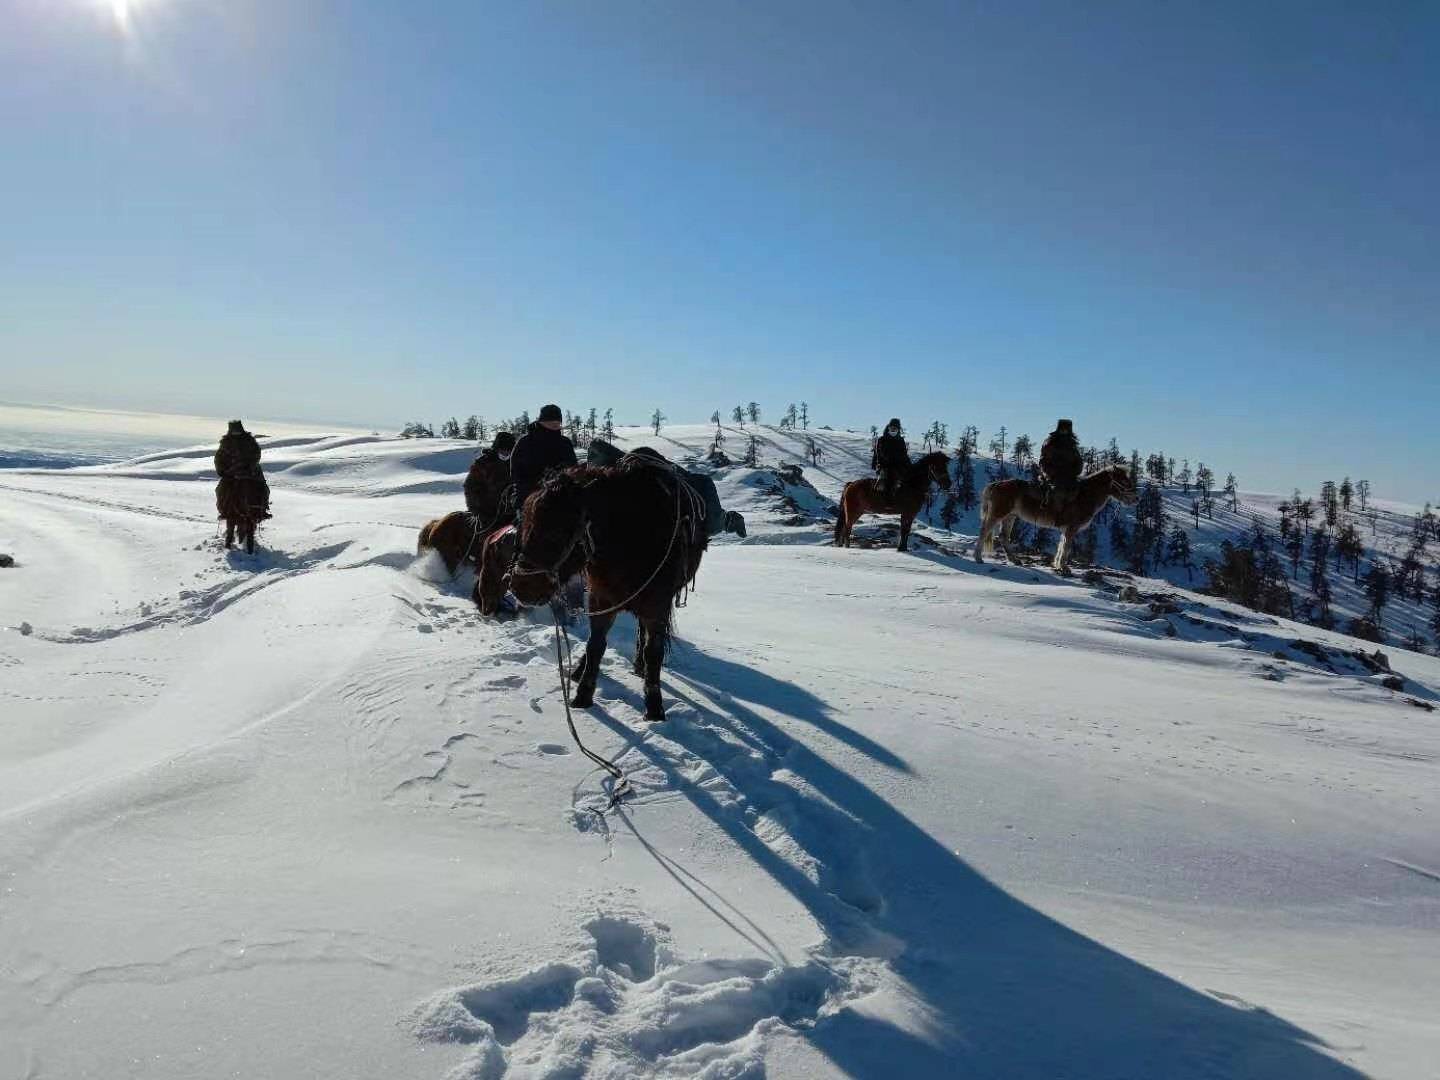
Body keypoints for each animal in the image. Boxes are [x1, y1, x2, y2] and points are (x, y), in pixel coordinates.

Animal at [509, 460, 705, 722]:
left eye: (556, 532)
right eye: (525, 523)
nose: (521, 587)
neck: (632, 540)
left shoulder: (657, 606)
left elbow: (653, 651)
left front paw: (654, 708)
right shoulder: (601, 600)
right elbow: (595, 645)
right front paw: (582, 696)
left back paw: (639, 667)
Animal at [973, 469, 1140, 578]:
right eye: (1124, 481)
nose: (1136, 499)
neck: (1085, 496)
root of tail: (996, 484)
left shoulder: (1066, 529)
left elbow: (1061, 546)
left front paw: (1058, 565)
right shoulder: (1072, 528)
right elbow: (1066, 548)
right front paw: (1065, 569)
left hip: (1010, 516)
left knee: (1003, 537)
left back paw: (1015, 560)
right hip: (998, 514)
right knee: (984, 531)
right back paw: (978, 558)